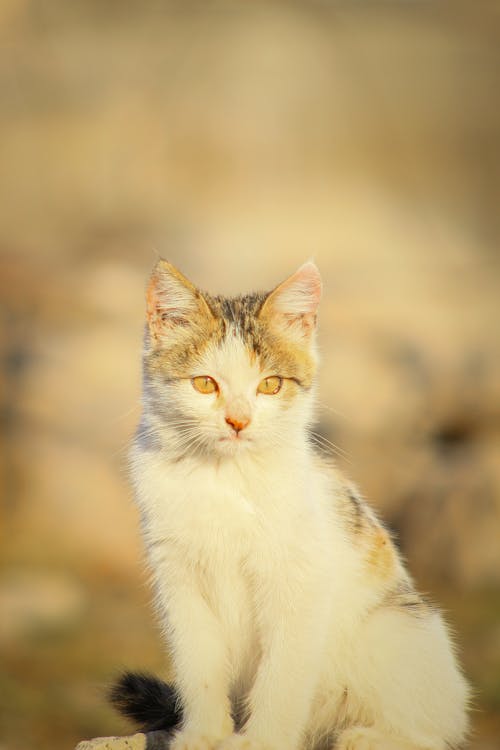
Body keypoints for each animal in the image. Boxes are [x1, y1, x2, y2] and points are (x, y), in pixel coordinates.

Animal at [111, 260, 470, 750]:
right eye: (205, 383)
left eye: (270, 384)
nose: (238, 421)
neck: (226, 477)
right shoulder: (178, 579)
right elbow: (198, 664)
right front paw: (203, 734)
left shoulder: (299, 583)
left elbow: (281, 674)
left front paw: (262, 739)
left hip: (398, 628)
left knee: (434, 730)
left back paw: (370, 736)